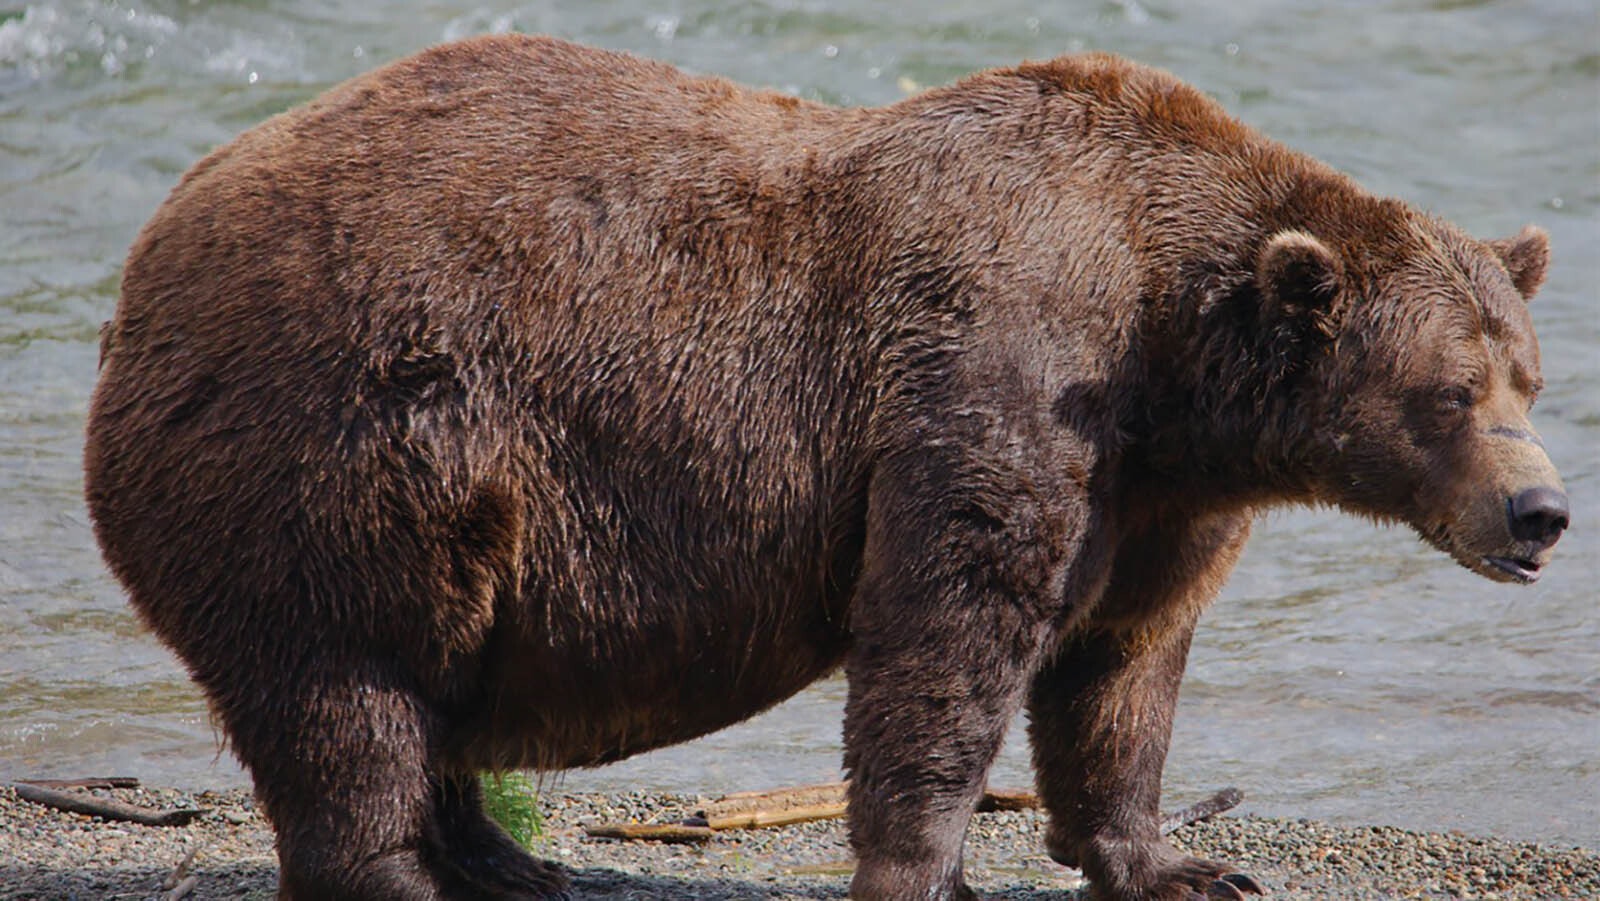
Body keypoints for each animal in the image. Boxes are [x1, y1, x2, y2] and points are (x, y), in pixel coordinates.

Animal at [81, 31, 1568, 901]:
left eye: (1529, 375)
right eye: (1448, 393)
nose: (1542, 510)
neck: (1167, 341)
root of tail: (151, 251)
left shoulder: (1160, 489)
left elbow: (1124, 662)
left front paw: (1176, 859)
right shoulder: (1000, 368)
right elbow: (951, 628)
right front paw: (926, 864)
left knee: (427, 681)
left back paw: (506, 860)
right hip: (345, 431)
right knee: (349, 681)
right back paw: (412, 872)